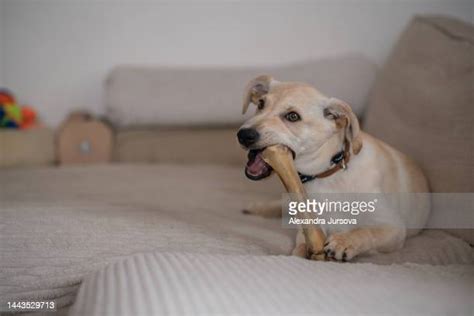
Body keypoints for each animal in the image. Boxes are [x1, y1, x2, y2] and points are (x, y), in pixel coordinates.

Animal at [237, 75, 430, 260]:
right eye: (261, 104)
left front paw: (345, 242)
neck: (326, 176)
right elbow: (302, 243)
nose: (243, 135)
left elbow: (367, 232)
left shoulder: (393, 227)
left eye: (293, 116)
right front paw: (302, 251)